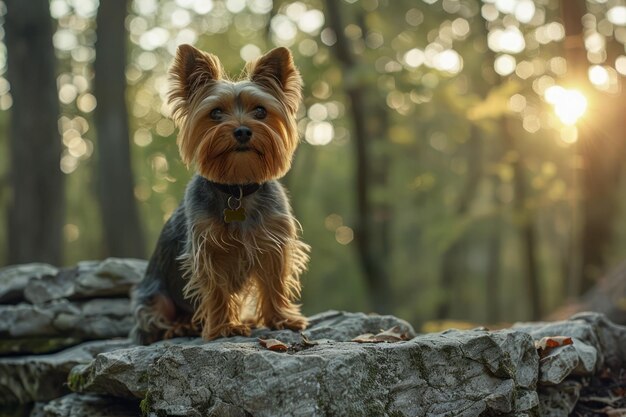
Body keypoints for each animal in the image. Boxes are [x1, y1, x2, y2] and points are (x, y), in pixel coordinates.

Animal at [130, 44, 310, 344]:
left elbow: (274, 282)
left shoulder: (273, 242)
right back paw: (180, 327)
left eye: (260, 111)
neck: (237, 188)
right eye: (215, 113)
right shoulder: (208, 247)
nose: (242, 130)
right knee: (154, 321)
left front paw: (281, 318)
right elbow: (216, 289)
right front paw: (225, 326)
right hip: (153, 297)